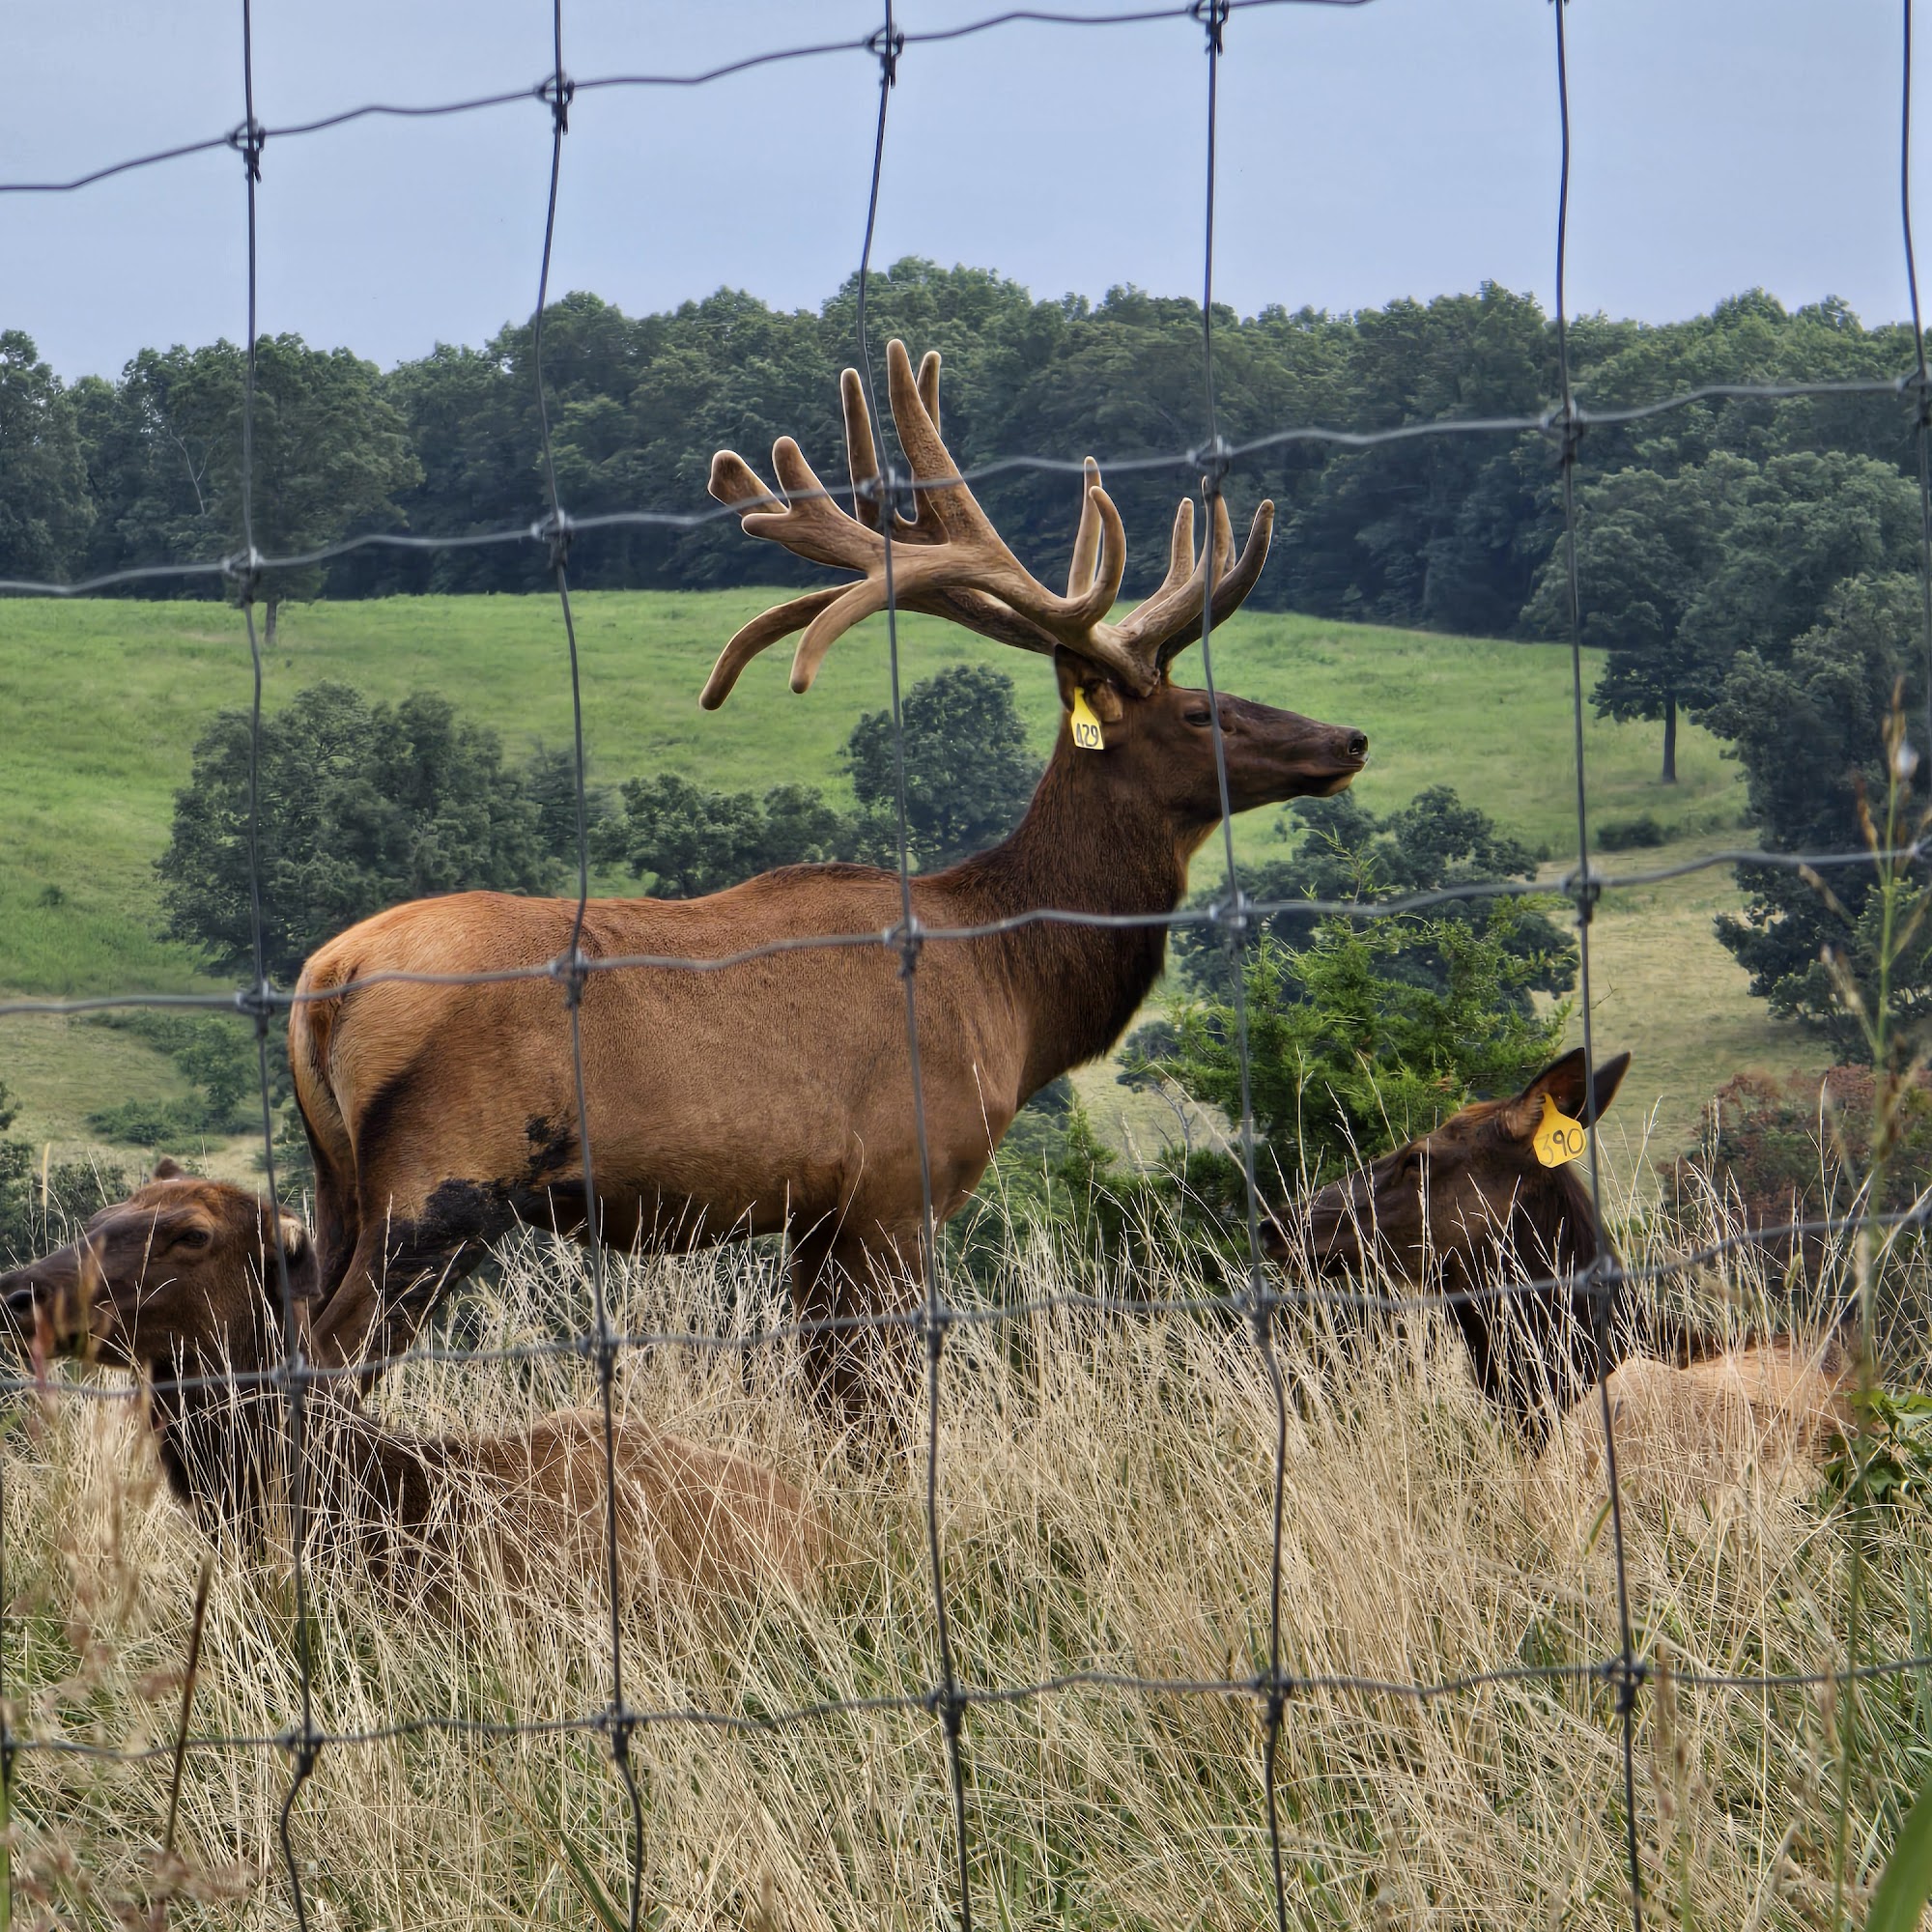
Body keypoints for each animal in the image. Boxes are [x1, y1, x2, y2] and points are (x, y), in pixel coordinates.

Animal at [290, 337, 1368, 1406]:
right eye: (1198, 712)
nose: (1347, 738)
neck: (1012, 990)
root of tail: (324, 980)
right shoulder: (897, 1178)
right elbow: (874, 1400)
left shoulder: (815, 1212)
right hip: (442, 1176)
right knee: (331, 1359)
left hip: (335, 1183)